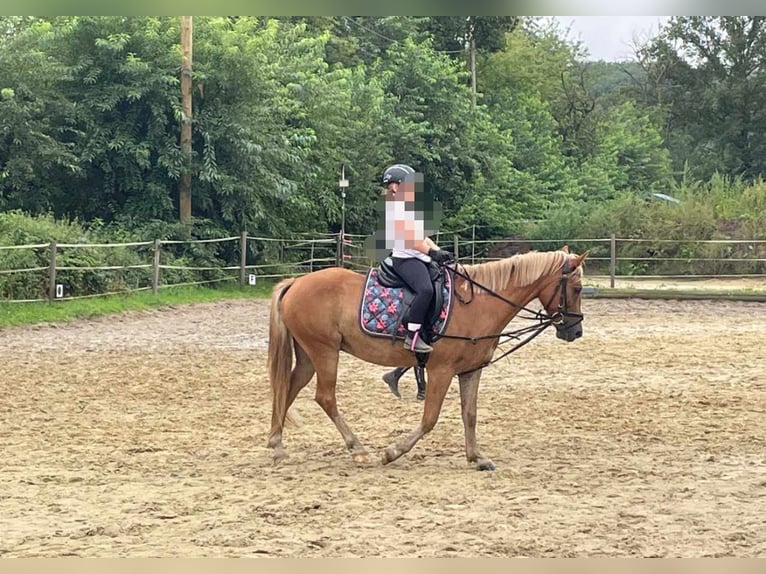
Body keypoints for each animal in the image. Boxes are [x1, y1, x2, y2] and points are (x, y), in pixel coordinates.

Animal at [268, 248, 592, 472]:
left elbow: (470, 414)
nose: (575, 331)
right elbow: (430, 418)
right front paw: (392, 451)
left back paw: (277, 445)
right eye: (576, 289)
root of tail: (296, 283)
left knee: (287, 388)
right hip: (324, 352)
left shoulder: (470, 370)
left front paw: (477, 457)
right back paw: (357, 448)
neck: (480, 304)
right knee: (325, 397)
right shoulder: (441, 370)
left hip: (310, 354)